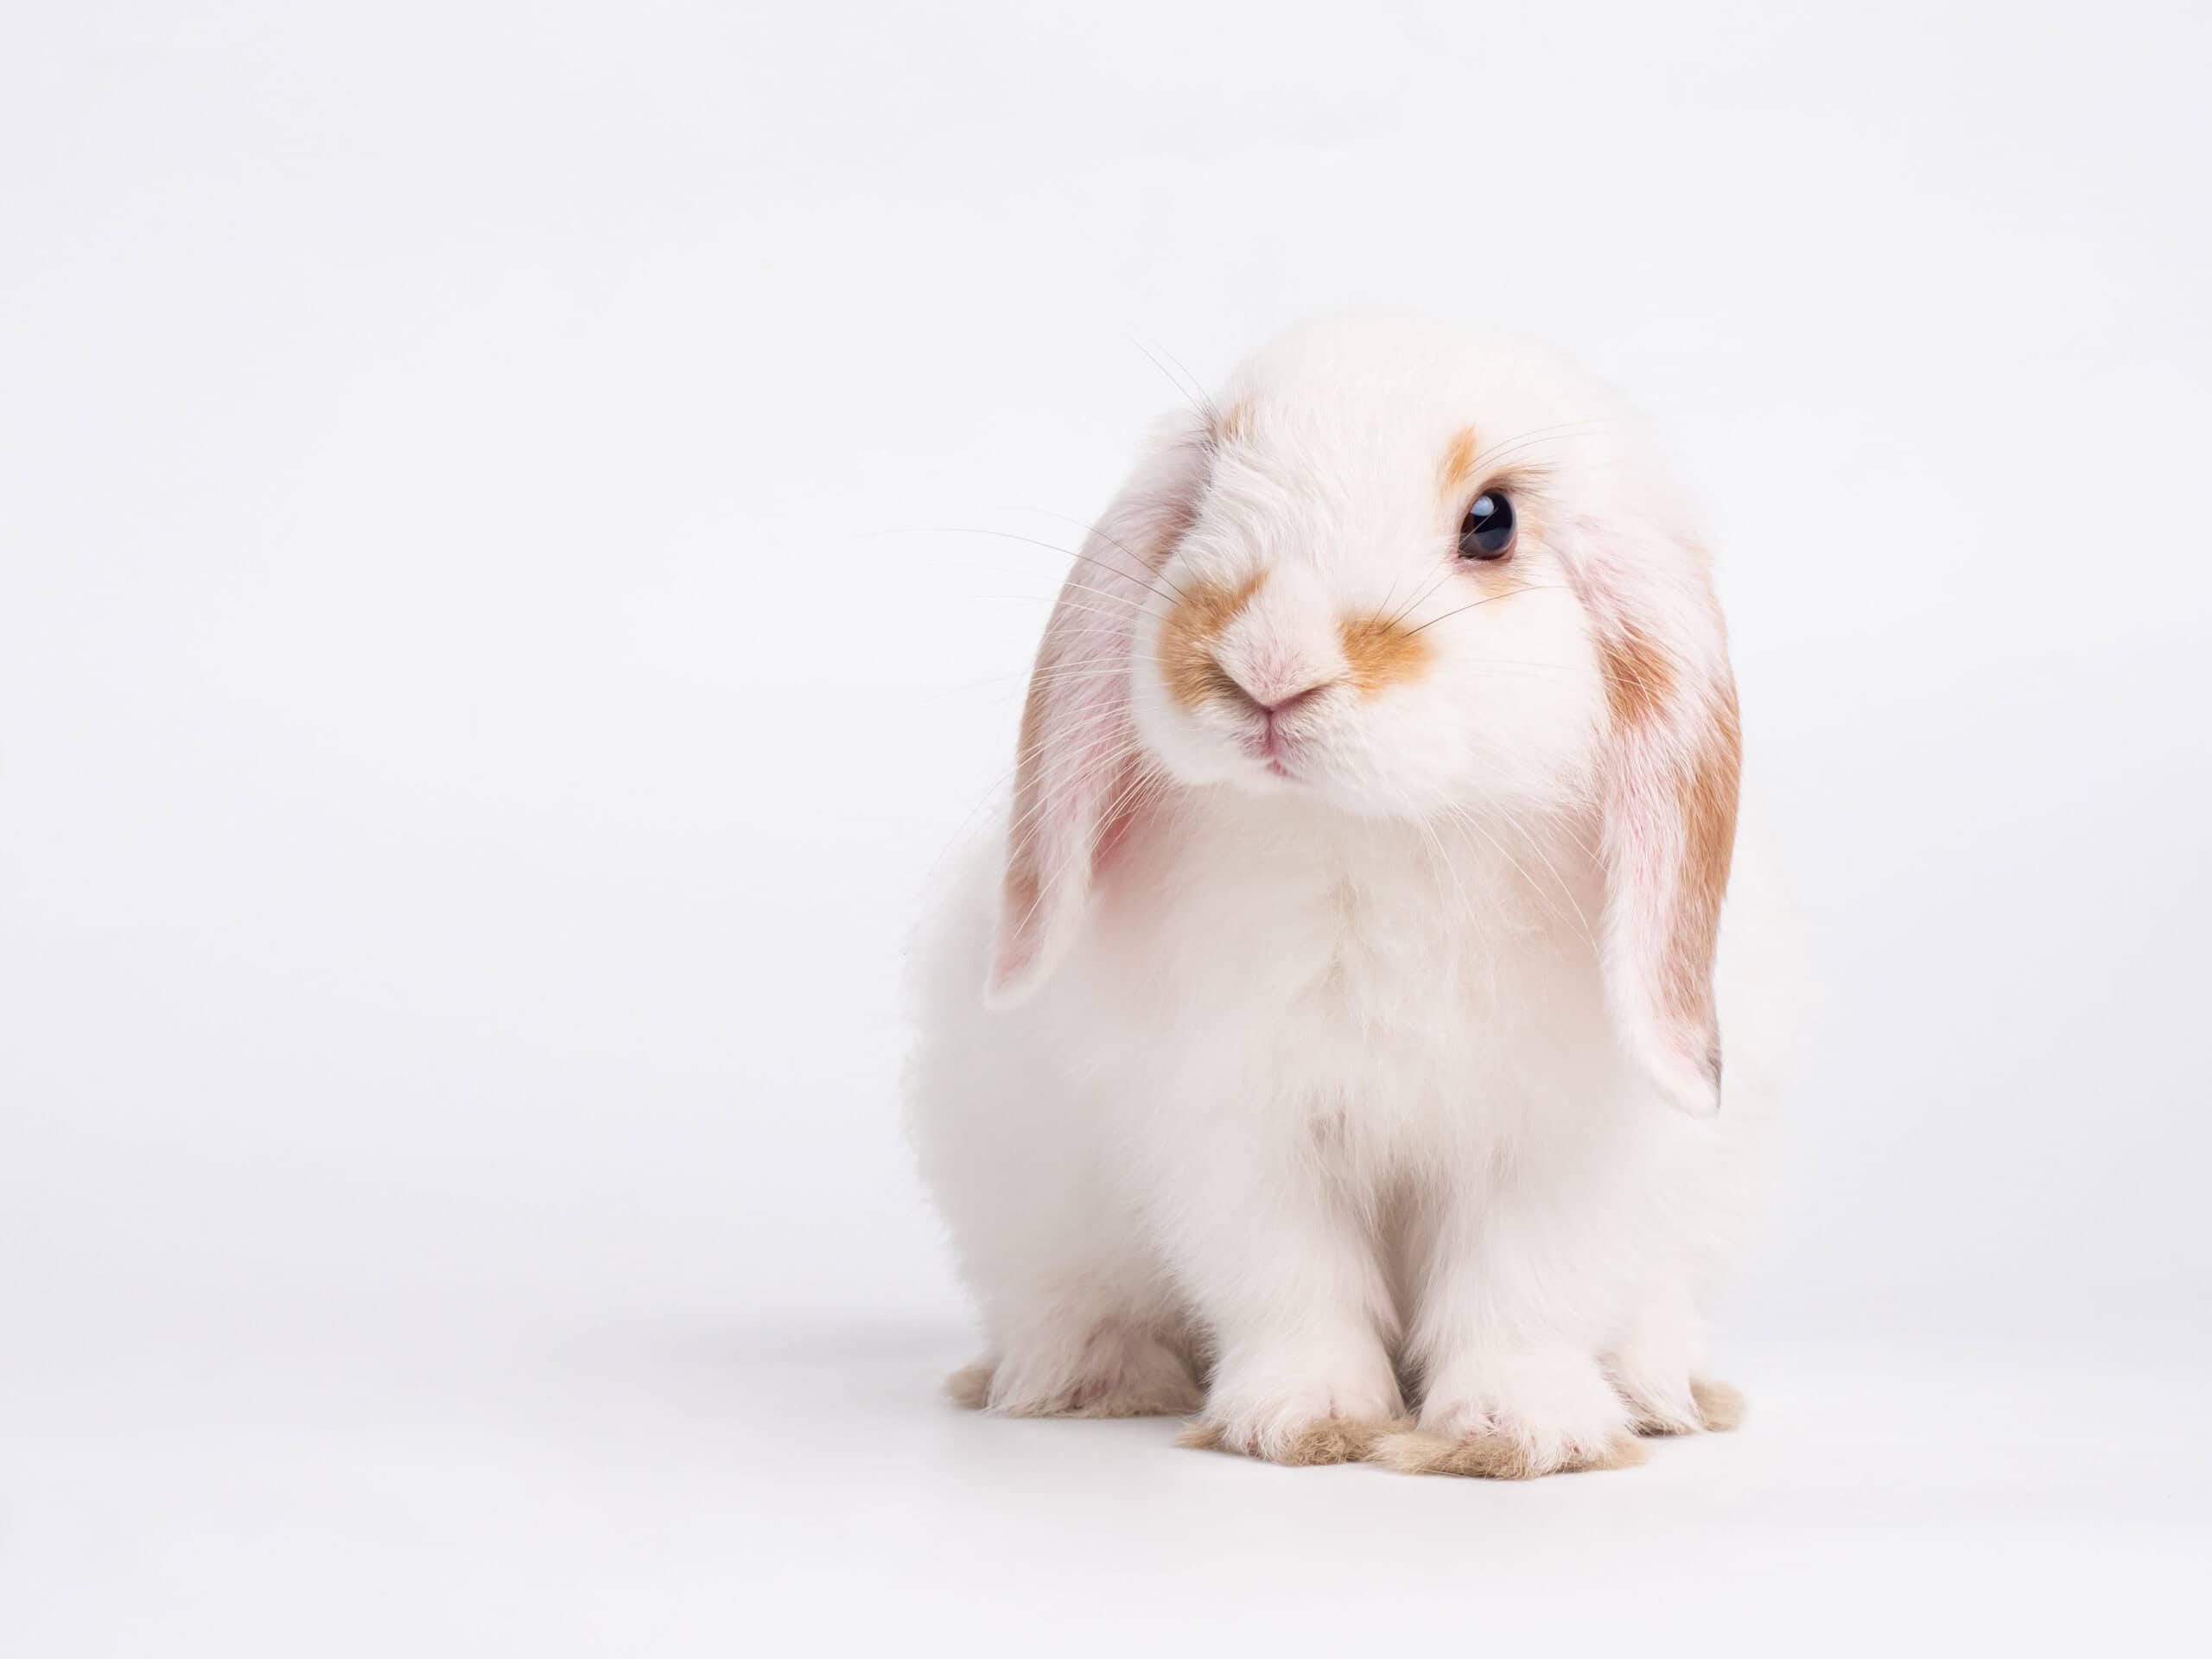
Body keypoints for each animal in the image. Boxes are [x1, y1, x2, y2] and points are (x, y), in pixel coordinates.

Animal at [906, 314, 1751, 1478]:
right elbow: (1289, 1279)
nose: (1267, 665)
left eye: (1491, 523)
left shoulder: (1559, 1144)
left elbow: (1519, 1287)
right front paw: (1306, 1421)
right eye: (1212, 478)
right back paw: (1080, 1375)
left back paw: (1658, 1390)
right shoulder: (1237, 1127)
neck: (1374, 836)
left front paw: (1515, 1433)